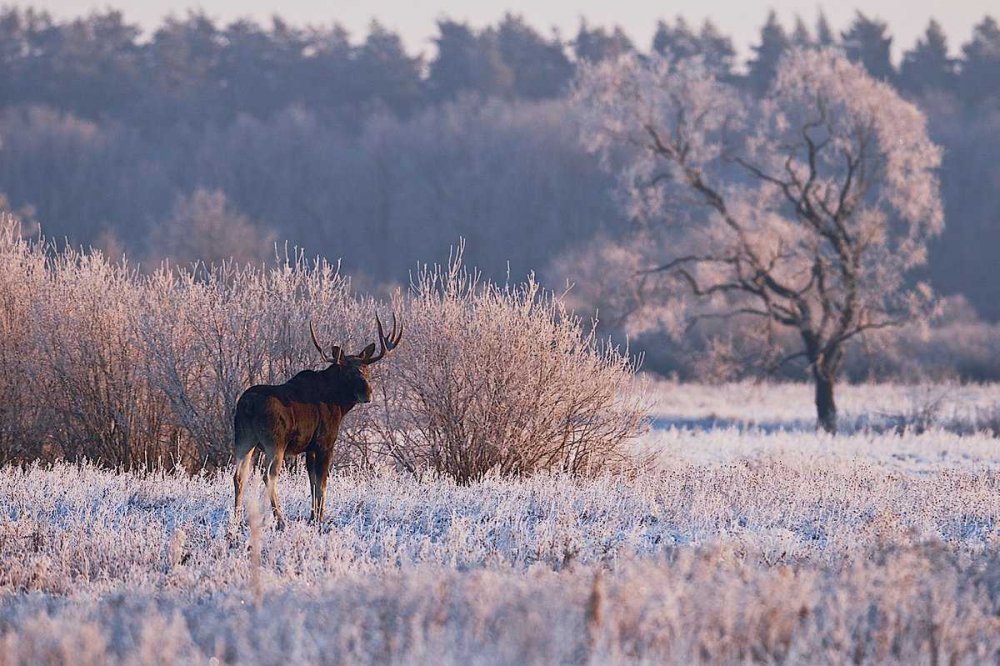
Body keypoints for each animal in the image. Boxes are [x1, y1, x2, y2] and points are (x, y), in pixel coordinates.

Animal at [232, 314, 400, 528]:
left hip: (244, 440)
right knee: (268, 475)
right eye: (349, 372)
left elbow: (312, 481)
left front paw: (313, 517)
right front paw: (320, 519)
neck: (339, 404)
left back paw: (235, 521)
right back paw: (280, 520)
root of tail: (248, 405)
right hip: (274, 443)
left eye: (366, 370)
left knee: (239, 476)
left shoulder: (309, 448)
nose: (367, 393)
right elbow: (322, 482)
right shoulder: (325, 443)